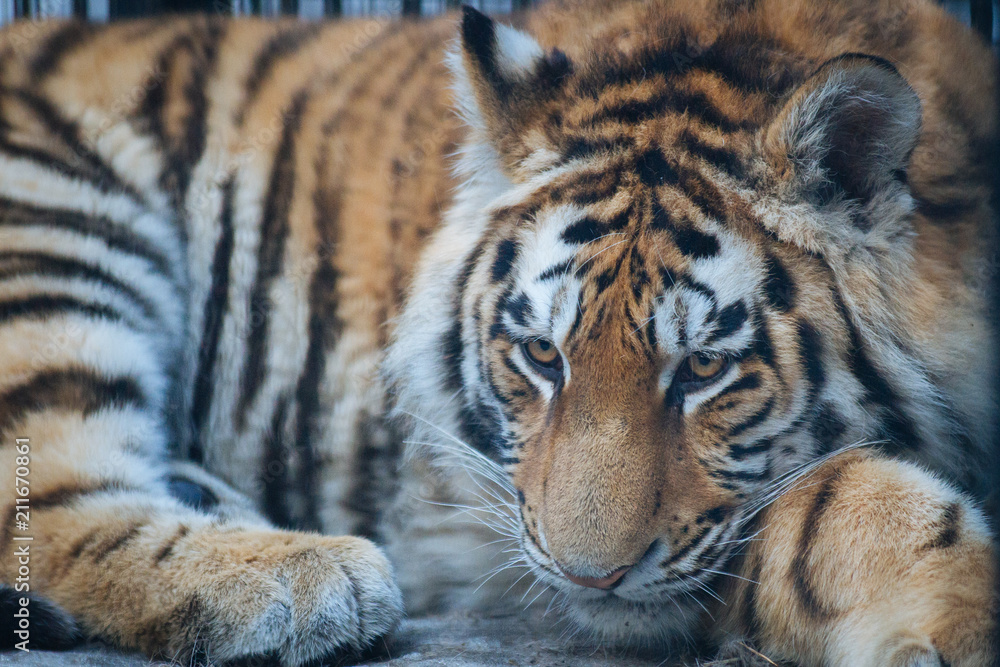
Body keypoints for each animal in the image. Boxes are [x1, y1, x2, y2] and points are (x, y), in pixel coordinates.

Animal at [0, 0, 995, 665]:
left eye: (705, 366)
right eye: (543, 355)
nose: (590, 579)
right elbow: (819, 506)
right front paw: (957, 610)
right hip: (52, 225)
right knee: (50, 504)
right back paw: (304, 579)